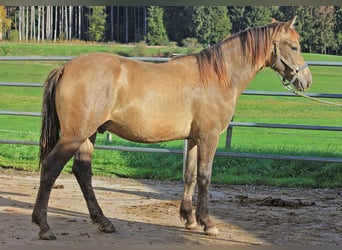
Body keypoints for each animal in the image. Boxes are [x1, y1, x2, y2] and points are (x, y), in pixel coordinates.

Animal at [32, 17, 312, 240]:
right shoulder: (209, 137)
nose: (306, 81)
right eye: (294, 46)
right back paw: (44, 226)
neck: (217, 76)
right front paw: (208, 223)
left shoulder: (193, 138)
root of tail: (65, 67)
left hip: (88, 136)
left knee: (82, 173)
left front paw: (189, 219)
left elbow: (189, 175)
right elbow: (204, 177)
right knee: (51, 168)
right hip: (74, 135)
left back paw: (104, 222)